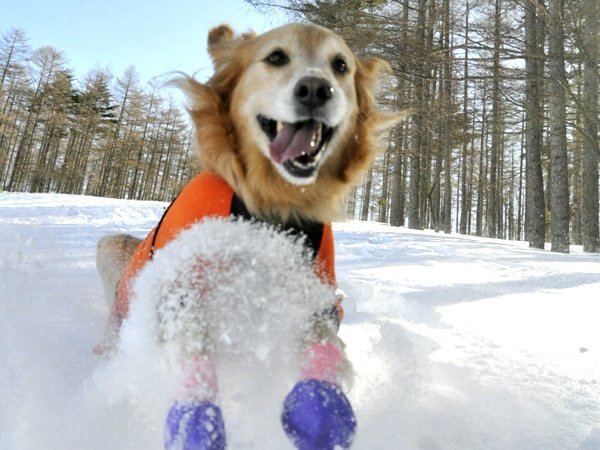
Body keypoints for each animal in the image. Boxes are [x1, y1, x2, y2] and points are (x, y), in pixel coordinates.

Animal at [97, 22, 408, 450]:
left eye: (341, 65)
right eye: (276, 57)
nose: (316, 89)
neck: (270, 209)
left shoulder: (315, 295)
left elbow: (323, 345)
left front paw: (320, 411)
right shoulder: (177, 286)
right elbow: (193, 346)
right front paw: (197, 423)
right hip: (111, 254)